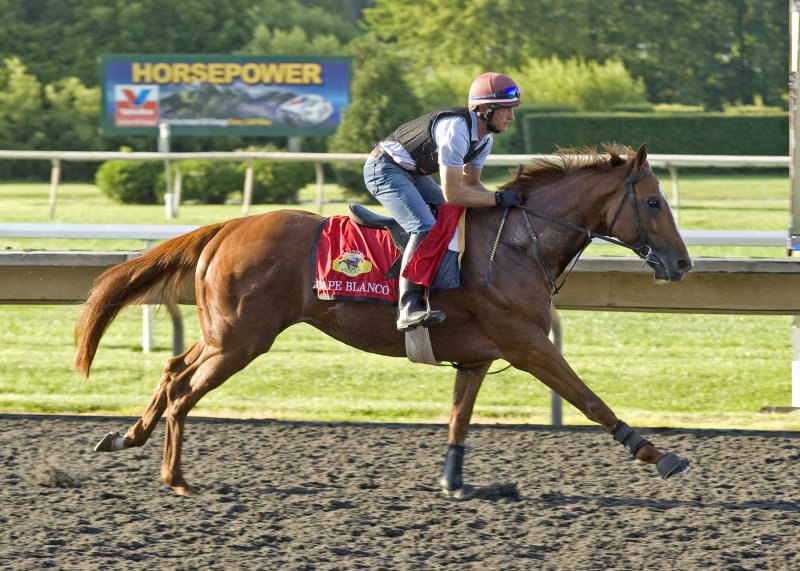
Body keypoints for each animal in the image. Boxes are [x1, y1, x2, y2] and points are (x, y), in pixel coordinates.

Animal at [78, 142, 692, 496]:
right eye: (654, 202)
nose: (684, 264)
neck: (519, 242)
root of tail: (226, 227)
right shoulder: (528, 345)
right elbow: (589, 399)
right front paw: (656, 453)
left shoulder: (478, 355)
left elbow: (459, 419)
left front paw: (455, 483)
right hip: (241, 340)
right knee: (184, 390)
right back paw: (176, 478)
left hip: (224, 333)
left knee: (173, 369)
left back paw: (126, 436)